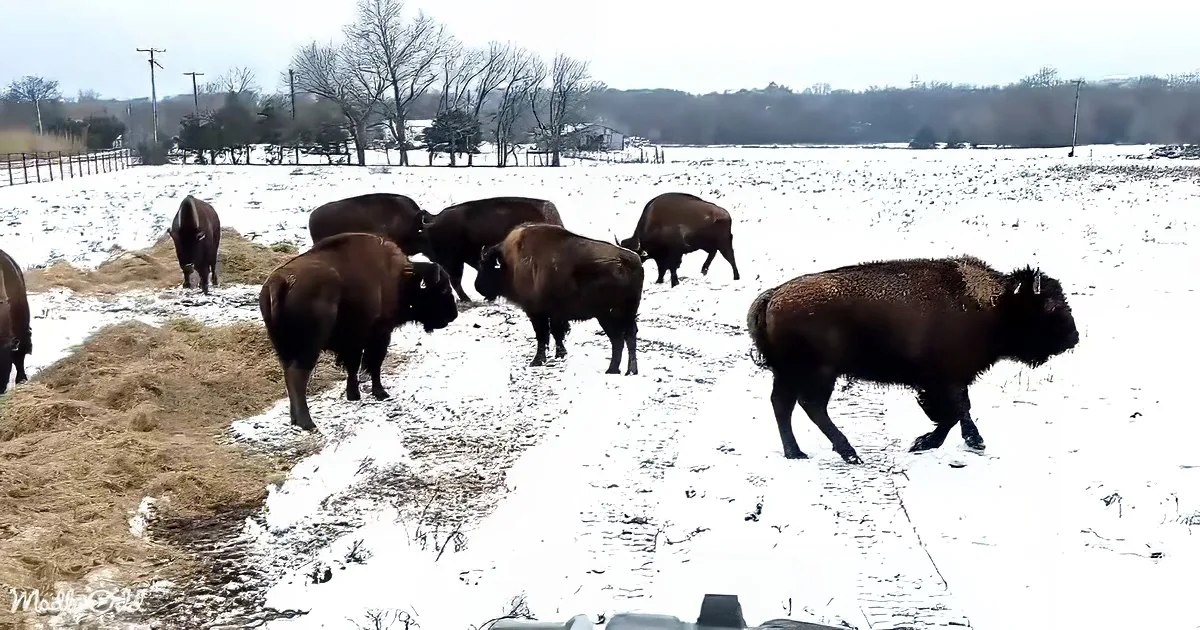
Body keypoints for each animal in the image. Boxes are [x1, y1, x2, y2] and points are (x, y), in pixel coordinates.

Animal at [259, 232, 459, 431]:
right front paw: (380, 393)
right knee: (298, 376)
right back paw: (307, 422)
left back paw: (295, 419)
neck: (399, 277)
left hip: (284, 348)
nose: (453, 314)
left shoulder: (353, 343)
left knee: (288, 374)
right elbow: (374, 364)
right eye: (442, 289)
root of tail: (280, 281)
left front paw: (353, 395)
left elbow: (353, 367)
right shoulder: (379, 334)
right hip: (309, 347)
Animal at [475, 223, 644, 375]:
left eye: (486, 265)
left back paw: (612, 370)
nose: (477, 286)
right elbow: (556, 333)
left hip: (607, 315)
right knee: (629, 335)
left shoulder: (537, 313)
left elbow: (543, 335)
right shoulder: (556, 314)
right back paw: (630, 371)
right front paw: (560, 355)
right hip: (627, 313)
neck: (511, 263)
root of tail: (631, 261)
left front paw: (537, 361)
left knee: (617, 338)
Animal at [746, 255, 1079, 464]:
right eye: (1049, 307)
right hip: (819, 372)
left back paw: (797, 453)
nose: (1074, 337)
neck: (995, 304)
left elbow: (954, 412)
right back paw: (849, 454)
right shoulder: (945, 379)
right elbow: (956, 412)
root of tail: (773, 296)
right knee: (810, 406)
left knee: (784, 405)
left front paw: (930, 442)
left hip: (790, 373)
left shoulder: (947, 380)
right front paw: (966, 442)